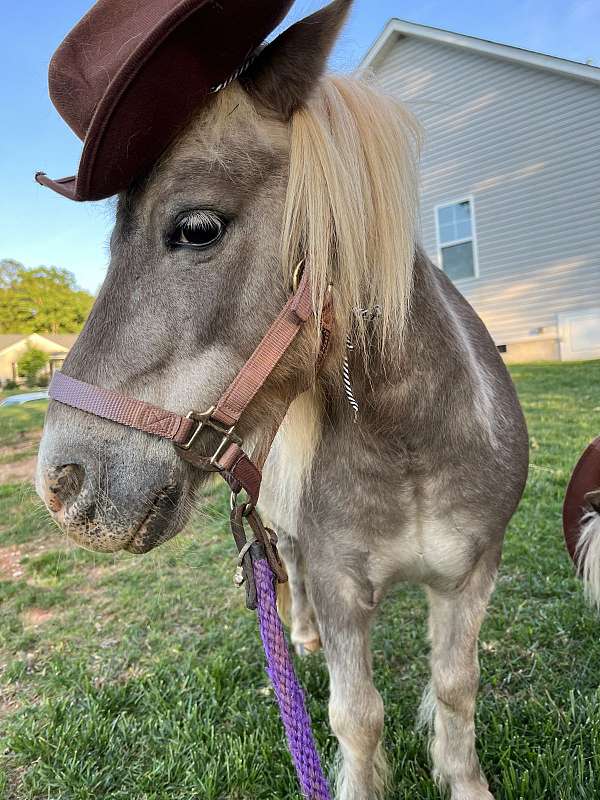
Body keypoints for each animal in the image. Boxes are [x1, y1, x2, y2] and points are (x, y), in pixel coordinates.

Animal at [36, 1, 529, 797]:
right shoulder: (338, 585)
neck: (413, 444)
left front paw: (465, 782)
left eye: (196, 227)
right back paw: (298, 635)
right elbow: (357, 716)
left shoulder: (472, 574)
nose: (61, 482)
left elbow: (457, 688)